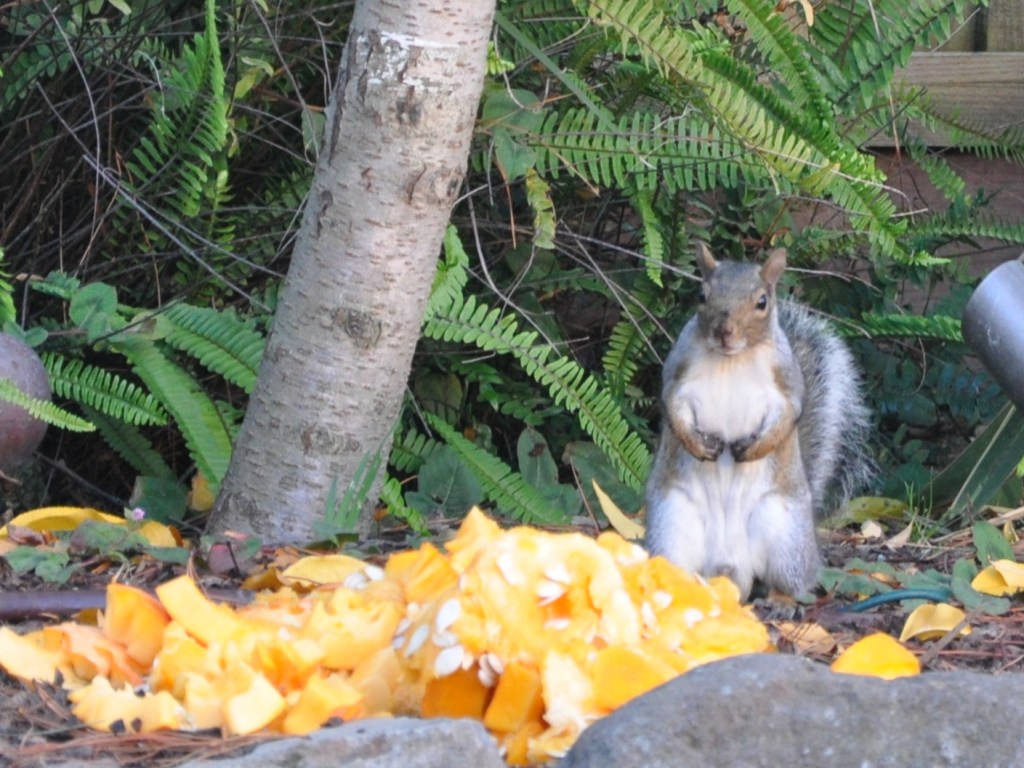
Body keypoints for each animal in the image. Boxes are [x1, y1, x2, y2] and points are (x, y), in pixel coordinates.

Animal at [644, 242, 873, 599]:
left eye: (762, 302)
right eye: (701, 295)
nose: (724, 331)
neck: (731, 359)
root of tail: (729, 566)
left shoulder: (786, 383)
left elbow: (789, 415)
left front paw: (753, 449)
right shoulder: (677, 376)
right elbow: (671, 407)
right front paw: (697, 444)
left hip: (785, 536)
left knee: (791, 582)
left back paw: (781, 599)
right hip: (671, 527)